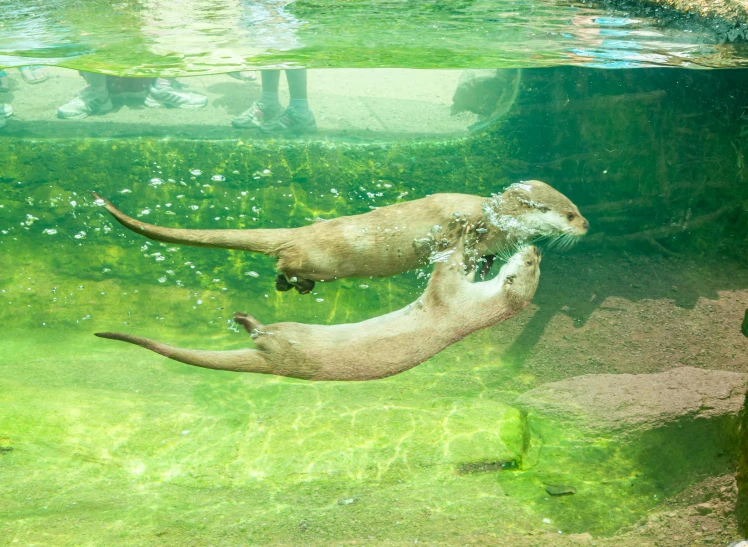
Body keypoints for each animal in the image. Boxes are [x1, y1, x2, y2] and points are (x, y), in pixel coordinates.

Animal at [95, 242, 544, 384]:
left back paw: (244, 319)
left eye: (528, 266)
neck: (473, 312)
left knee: (261, 333)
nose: (536, 249)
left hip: (289, 333)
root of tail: (275, 363)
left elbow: (441, 278)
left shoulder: (448, 301)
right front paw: (479, 258)